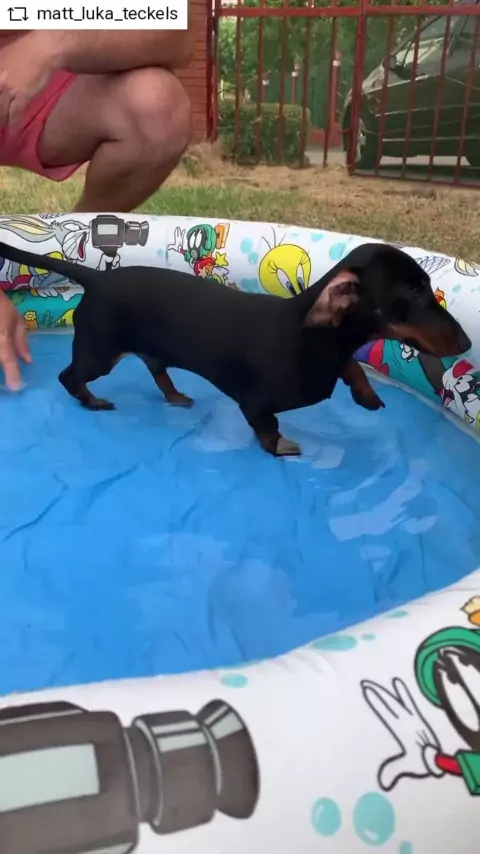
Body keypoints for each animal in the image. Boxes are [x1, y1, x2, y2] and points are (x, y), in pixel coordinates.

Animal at [0, 240, 471, 457]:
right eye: (414, 293)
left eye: (429, 286)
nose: (468, 342)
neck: (312, 337)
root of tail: (95, 277)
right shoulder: (256, 403)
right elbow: (268, 428)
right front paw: (282, 447)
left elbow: (350, 366)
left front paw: (365, 392)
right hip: (101, 352)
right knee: (70, 376)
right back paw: (92, 400)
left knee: (157, 368)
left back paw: (174, 394)